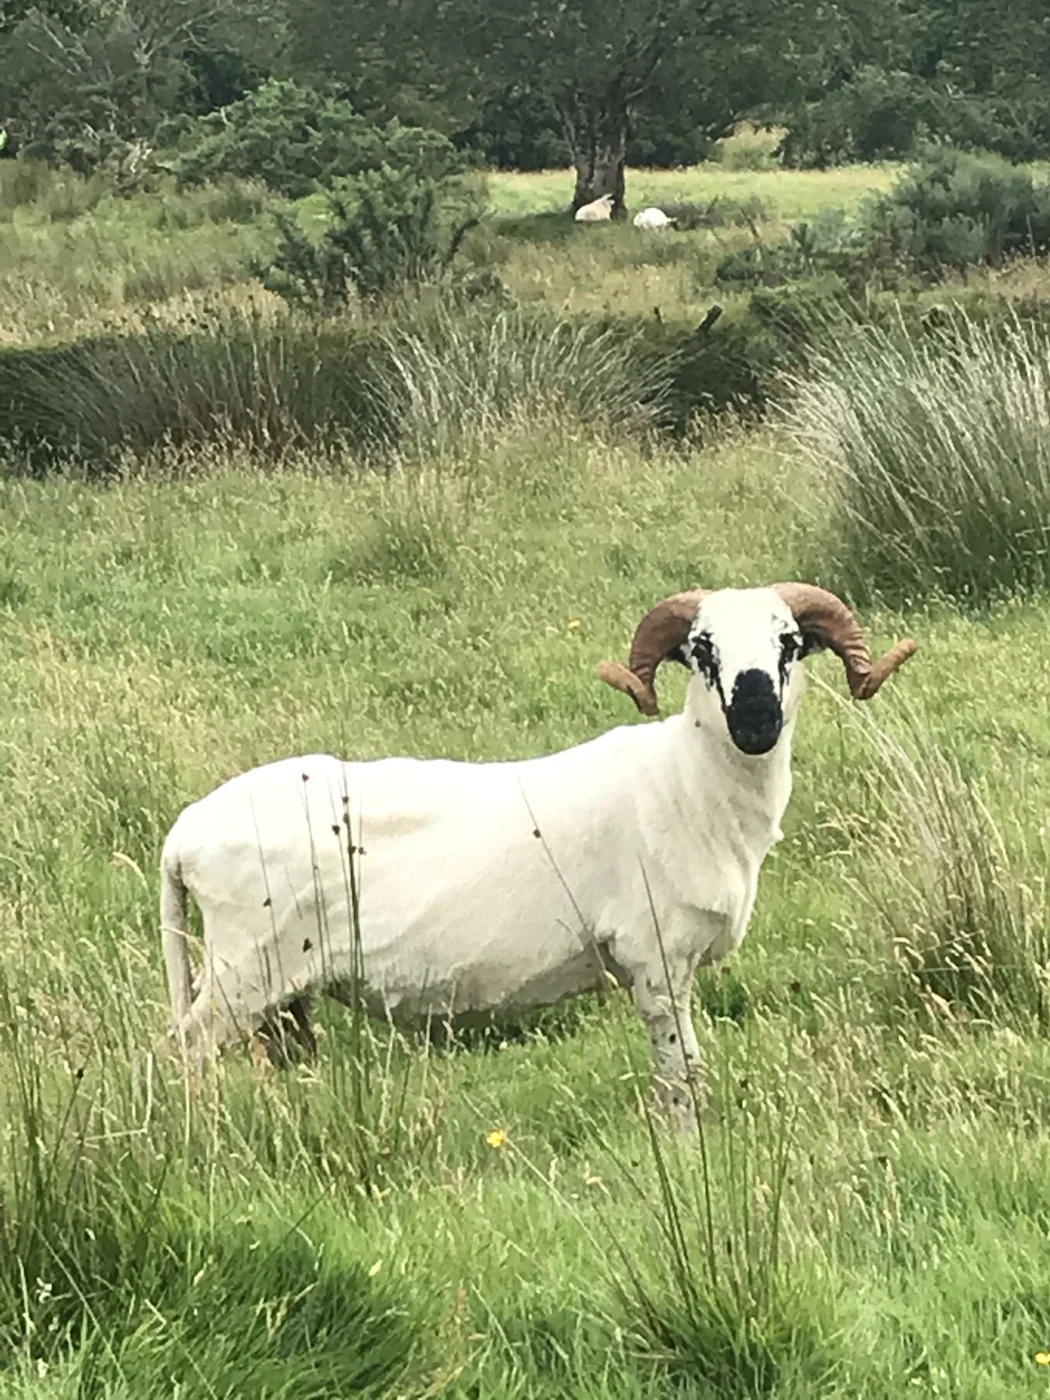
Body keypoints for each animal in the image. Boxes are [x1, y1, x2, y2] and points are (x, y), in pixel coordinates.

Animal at [159, 584, 917, 1129]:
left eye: (789, 643)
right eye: (701, 649)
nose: (756, 715)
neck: (687, 784)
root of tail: (183, 836)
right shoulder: (657, 958)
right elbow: (681, 1073)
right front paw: (688, 1146)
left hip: (284, 991)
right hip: (242, 970)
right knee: (188, 1050)